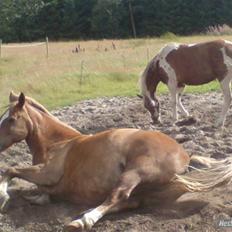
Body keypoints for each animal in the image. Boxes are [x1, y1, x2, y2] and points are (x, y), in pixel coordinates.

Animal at [0, 92, 232, 230]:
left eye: (11, 119)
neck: (57, 142)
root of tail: (184, 159)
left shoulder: (47, 172)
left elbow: (10, 169)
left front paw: (3, 196)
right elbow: (40, 193)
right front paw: (33, 198)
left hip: (135, 172)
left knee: (117, 196)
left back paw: (83, 221)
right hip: (146, 192)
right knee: (128, 202)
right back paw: (84, 213)